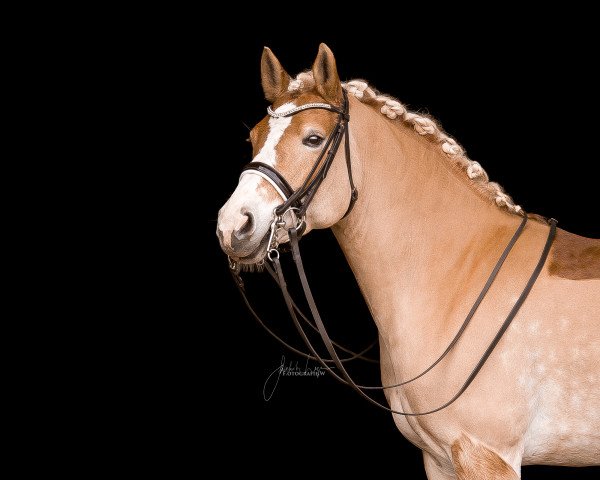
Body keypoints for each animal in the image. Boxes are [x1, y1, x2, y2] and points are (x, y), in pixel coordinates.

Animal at [217, 43, 600, 478]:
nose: (233, 225)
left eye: (313, 139)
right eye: (252, 137)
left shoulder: (486, 455)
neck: (461, 277)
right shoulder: (439, 459)